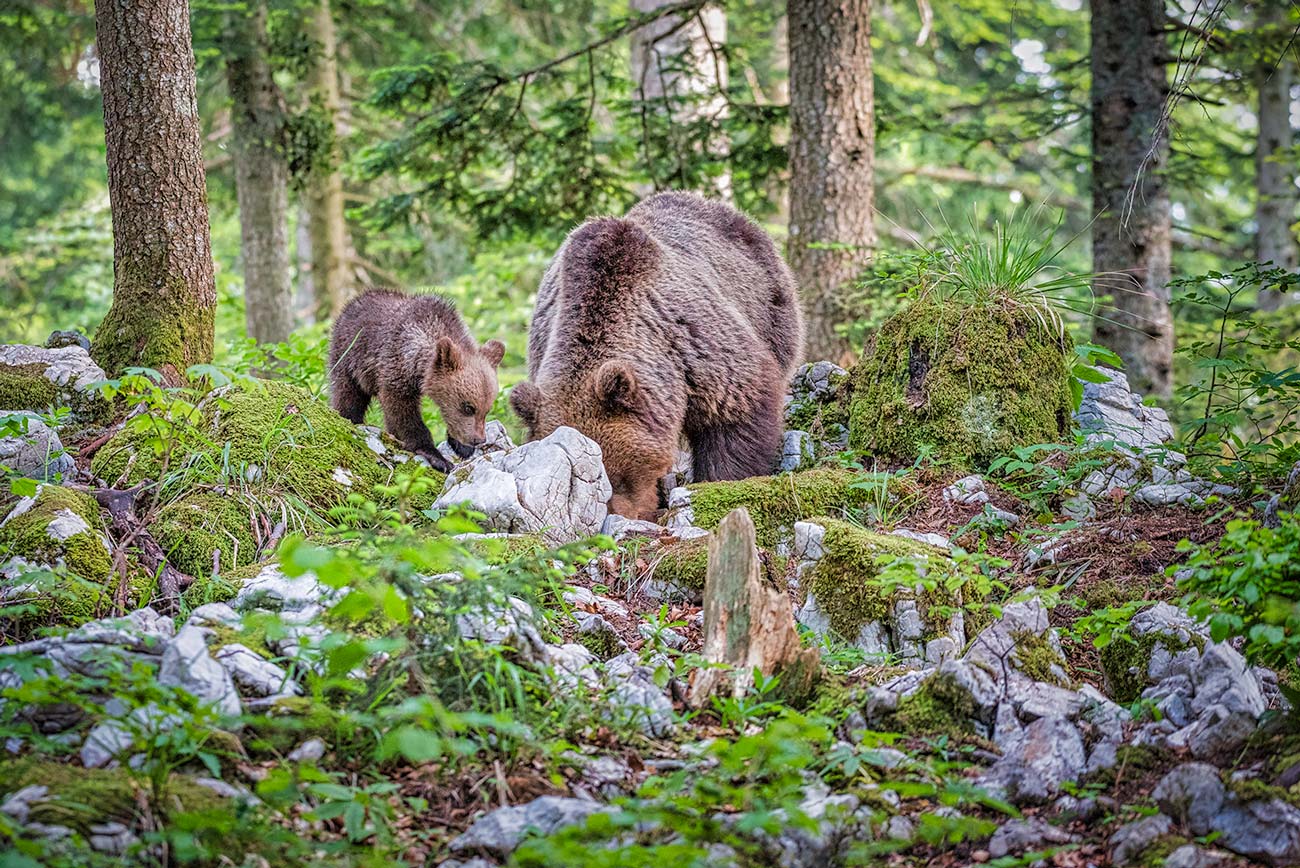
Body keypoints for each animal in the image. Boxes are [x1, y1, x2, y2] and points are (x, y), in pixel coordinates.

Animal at [330, 288, 501, 470]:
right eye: (468, 407)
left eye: (487, 409)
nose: (478, 440)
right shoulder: (395, 368)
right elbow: (403, 413)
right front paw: (437, 457)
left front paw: (462, 446)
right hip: (348, 357)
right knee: (348, 396)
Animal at [506, 191, 800, 514]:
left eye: (616, 473)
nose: (615, 514)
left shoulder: (696, 344)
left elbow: (737, 415)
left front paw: (723, 480)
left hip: (770, 305)